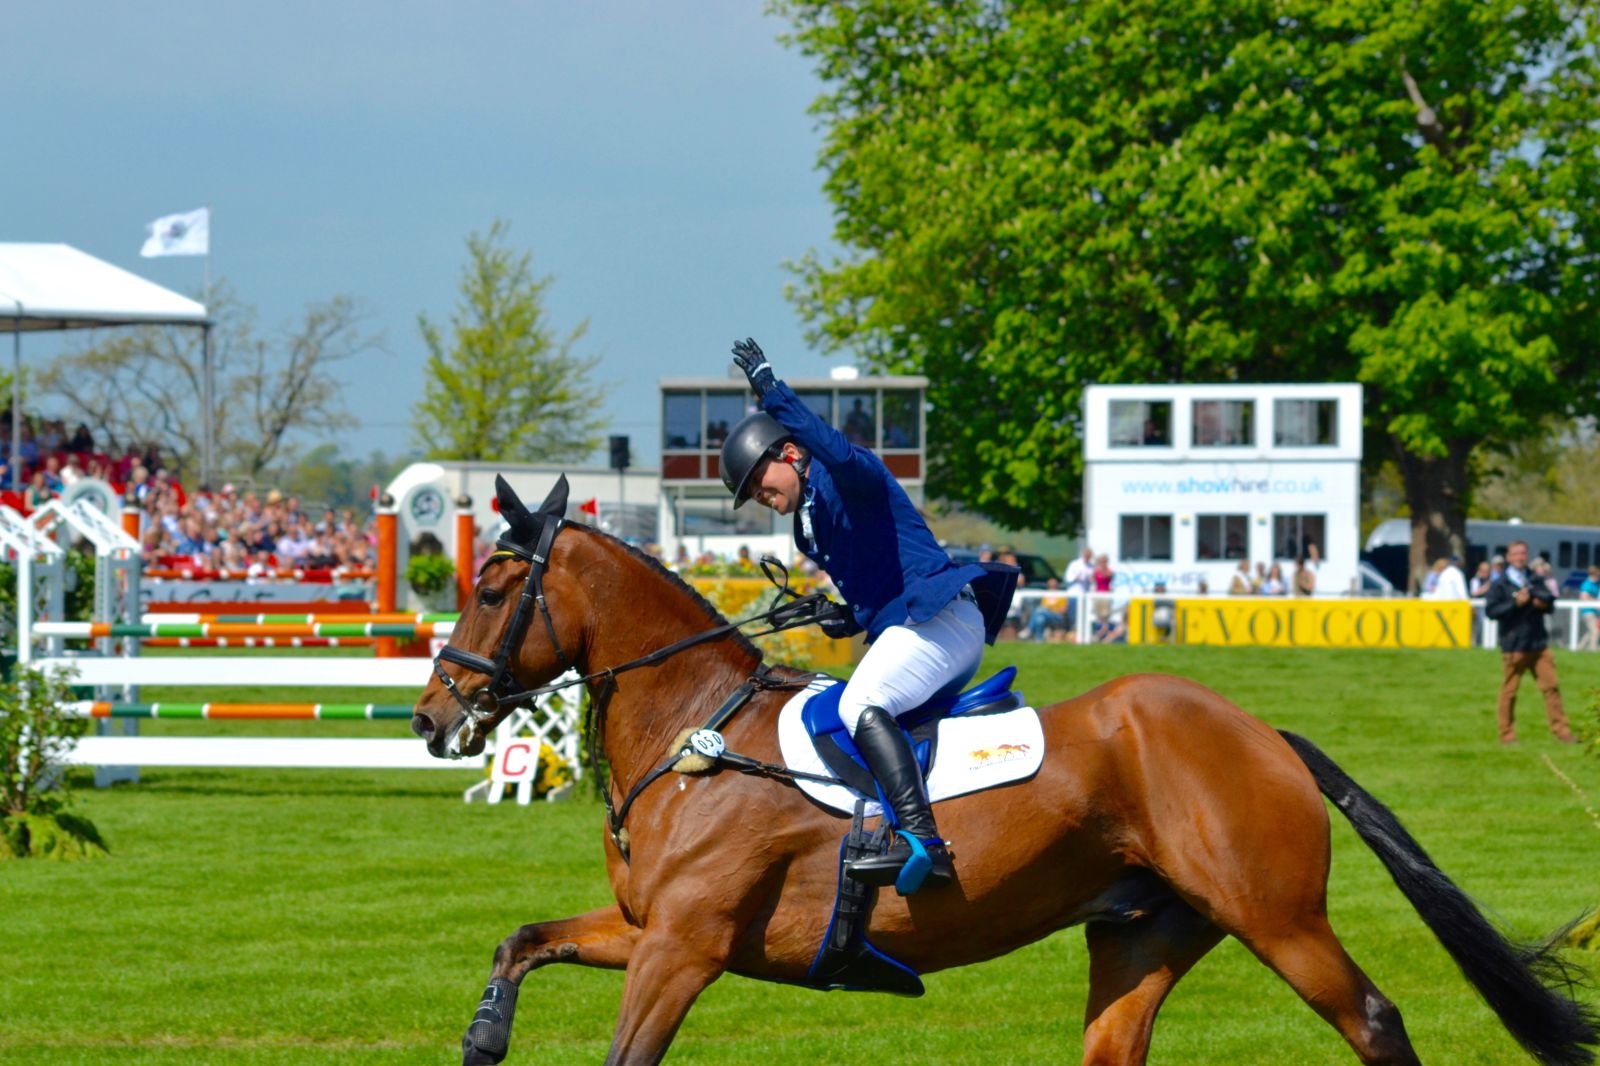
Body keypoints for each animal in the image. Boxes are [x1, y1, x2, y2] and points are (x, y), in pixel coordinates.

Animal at [416, 473, 1600, 1062]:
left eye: (491, 586)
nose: (434, 716)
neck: (694, 734)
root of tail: (1263, 733)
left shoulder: (684, 949)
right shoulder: (648, 930)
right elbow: (521, 940)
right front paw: (481, 1035)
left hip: (1279, 918)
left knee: (1375, 1023)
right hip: (1141, 935)